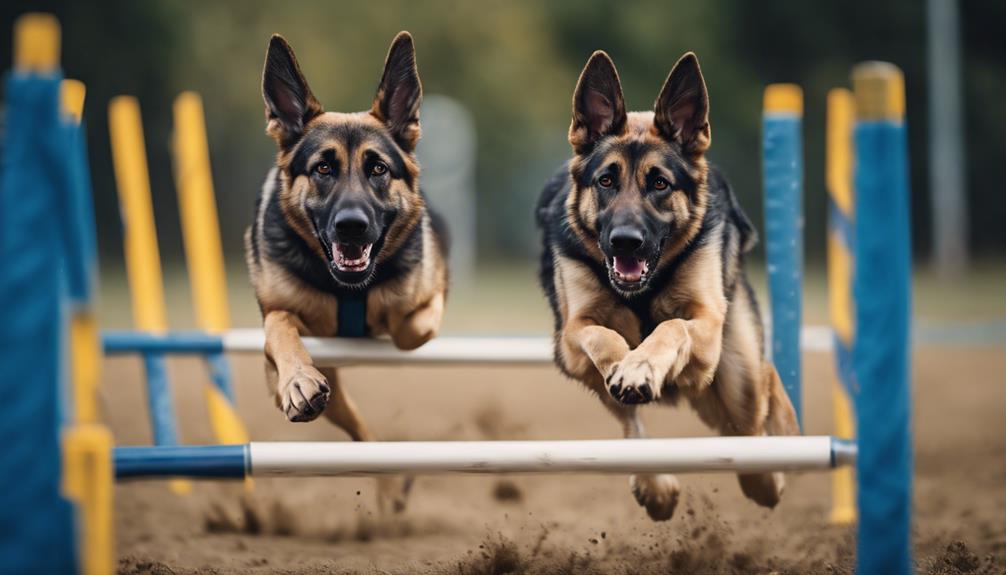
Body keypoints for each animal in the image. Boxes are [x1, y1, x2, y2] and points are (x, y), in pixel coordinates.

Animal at [245, 32, 446, 506]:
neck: (349, 290)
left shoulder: (432, 296)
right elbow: (280, 327)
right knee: (360, 433)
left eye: (378, 169)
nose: (351, 226)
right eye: (323, 168)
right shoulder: (276, 338)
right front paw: (297, 382)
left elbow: (409, 330)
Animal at [539, 52, 796, 522]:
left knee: (756, 418)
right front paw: (628, 365)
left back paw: (769, 472)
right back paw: (654, 485)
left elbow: (670, 328)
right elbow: (603, 337)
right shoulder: (571, 338)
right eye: (606, 181)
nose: (625, 241)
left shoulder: (707, 327)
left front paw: (641, 364)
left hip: (738, 379)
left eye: (659, 184)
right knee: (632, 427)